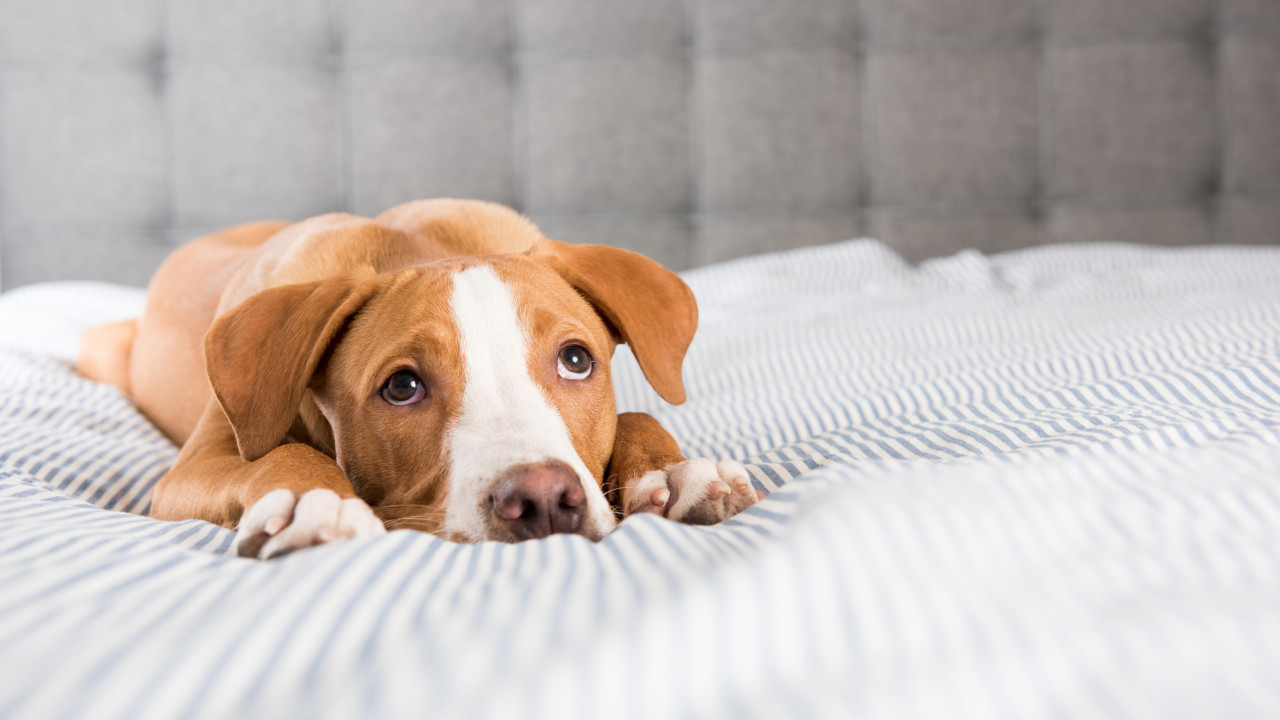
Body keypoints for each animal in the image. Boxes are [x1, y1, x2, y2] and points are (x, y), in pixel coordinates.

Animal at [74, 198, 757, 558]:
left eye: (576, 360)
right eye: (402, 388)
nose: (540, 499)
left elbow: (637, 413)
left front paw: (672, 473)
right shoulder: (193, 468)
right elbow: (280, 452)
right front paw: (315, 500)